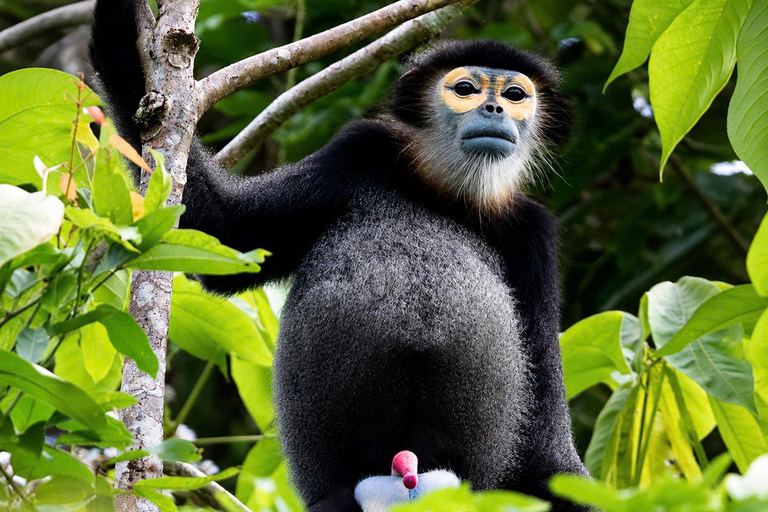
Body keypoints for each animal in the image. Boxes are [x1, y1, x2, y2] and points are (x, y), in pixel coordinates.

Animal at [90, 2, 589, 511]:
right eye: (465, 89)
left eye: (515, 94)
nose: (494, 108)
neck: (446, 194)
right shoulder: (359, 150)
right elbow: (227, 232)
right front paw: (120, 16)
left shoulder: (534, 236)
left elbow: (545, 442)